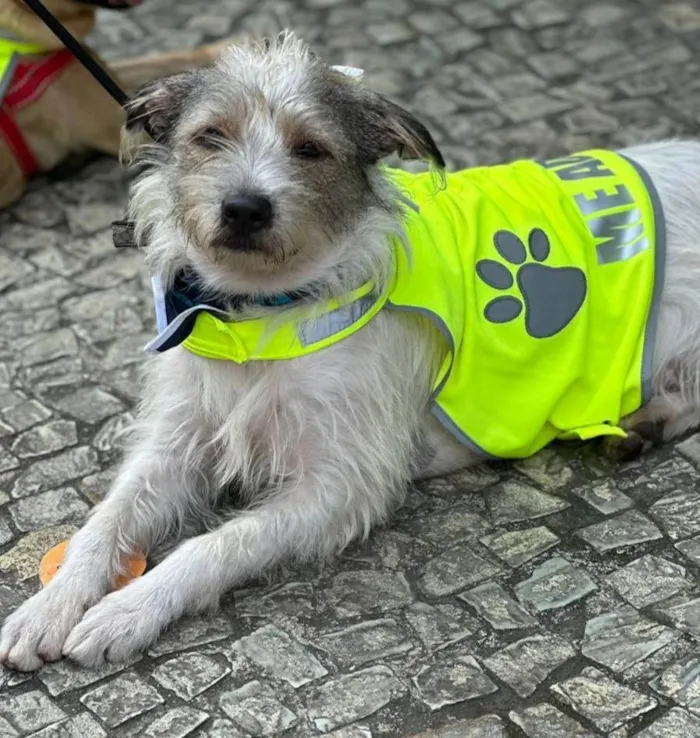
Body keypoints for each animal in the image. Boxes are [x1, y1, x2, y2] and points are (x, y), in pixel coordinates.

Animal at [1, 31, 700, 668]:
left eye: (310, 148)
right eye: (210, 136)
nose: (244, 207)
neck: (262, 315)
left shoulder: (341, 483)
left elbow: (217, 543)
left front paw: (129, 609)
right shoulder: (176, 441)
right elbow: (104, 523)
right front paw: (48, 607)